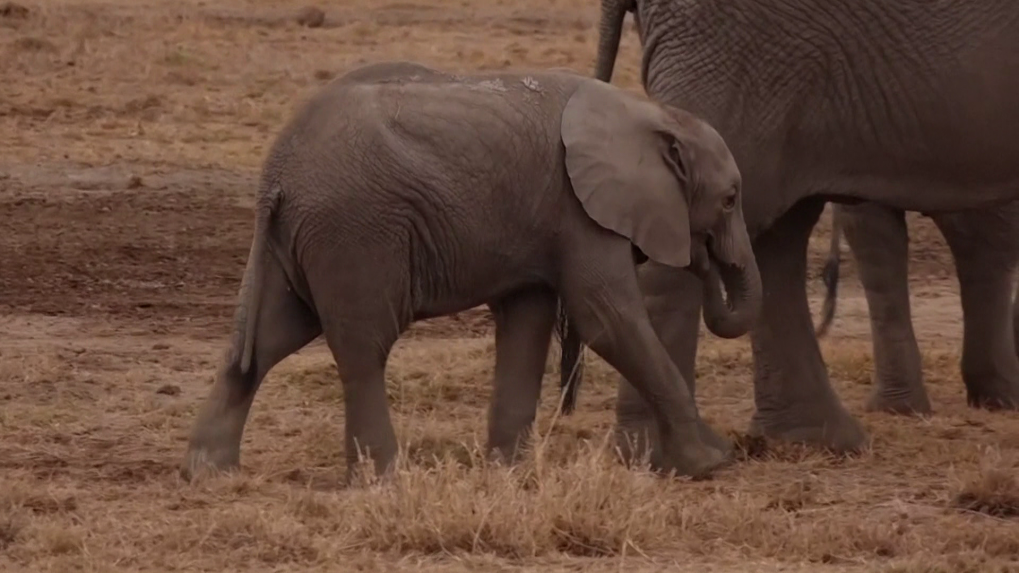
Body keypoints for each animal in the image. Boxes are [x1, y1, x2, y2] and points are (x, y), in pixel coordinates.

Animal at [181, 60, 758, 479]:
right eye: (730, 199)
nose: (705, 257)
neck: (649, 113)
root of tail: (277, 171)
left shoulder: (544, 219)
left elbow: (527, 325)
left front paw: (510, 471)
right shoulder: (580, 211)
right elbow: (607, 321)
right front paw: (711, 461)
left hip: (302, 237)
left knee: (265, 341)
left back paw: (208, 473)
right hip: (354, 231)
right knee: (362, 350)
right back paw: (382, 479)